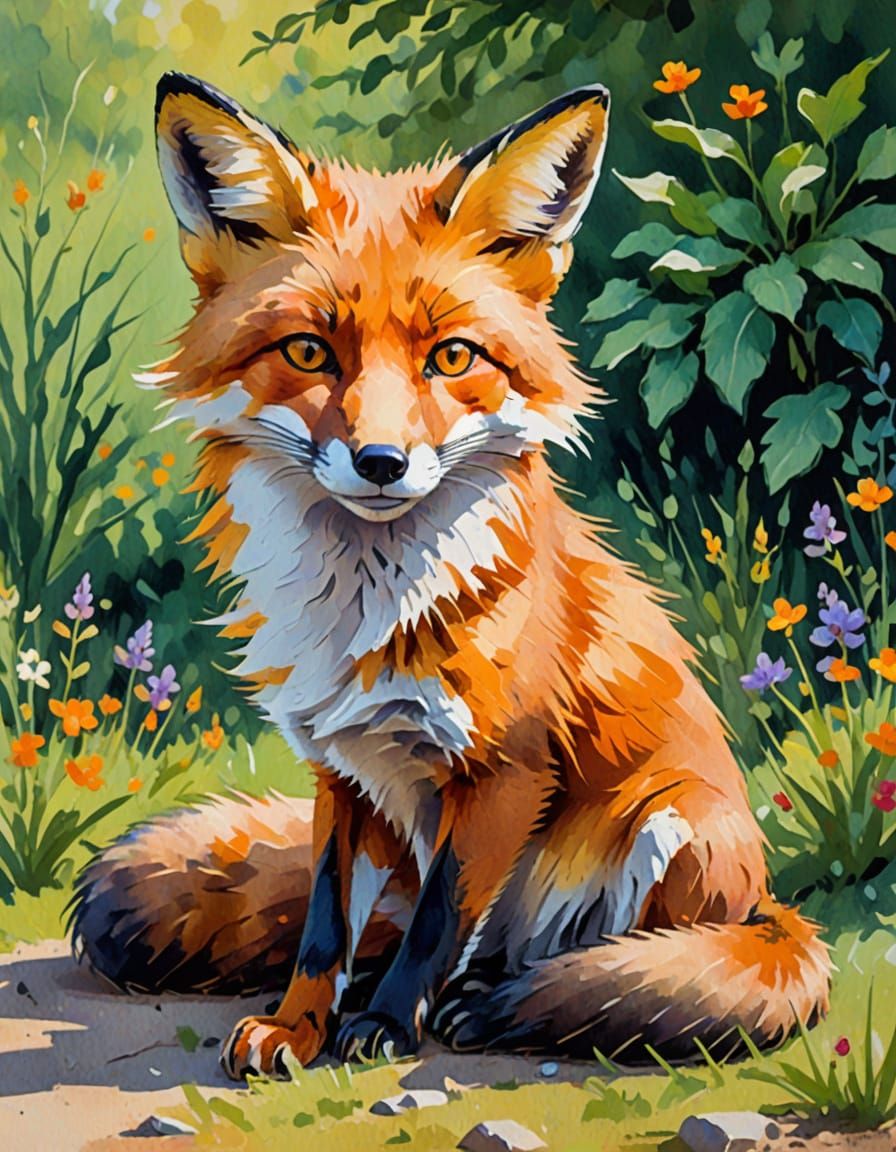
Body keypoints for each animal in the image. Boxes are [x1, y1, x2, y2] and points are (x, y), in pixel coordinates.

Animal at [70, 72, 830, 1081]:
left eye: (453, 357)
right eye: (309, 351)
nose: (382, 462)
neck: (367, 611)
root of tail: (769, 905)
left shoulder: (506, 771)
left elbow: (439, 921)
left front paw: (386, 1027)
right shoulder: (340, 768)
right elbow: (323, 927)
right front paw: (301, 1026)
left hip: (672, 824)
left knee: (601, 954)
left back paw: (500, 1002)